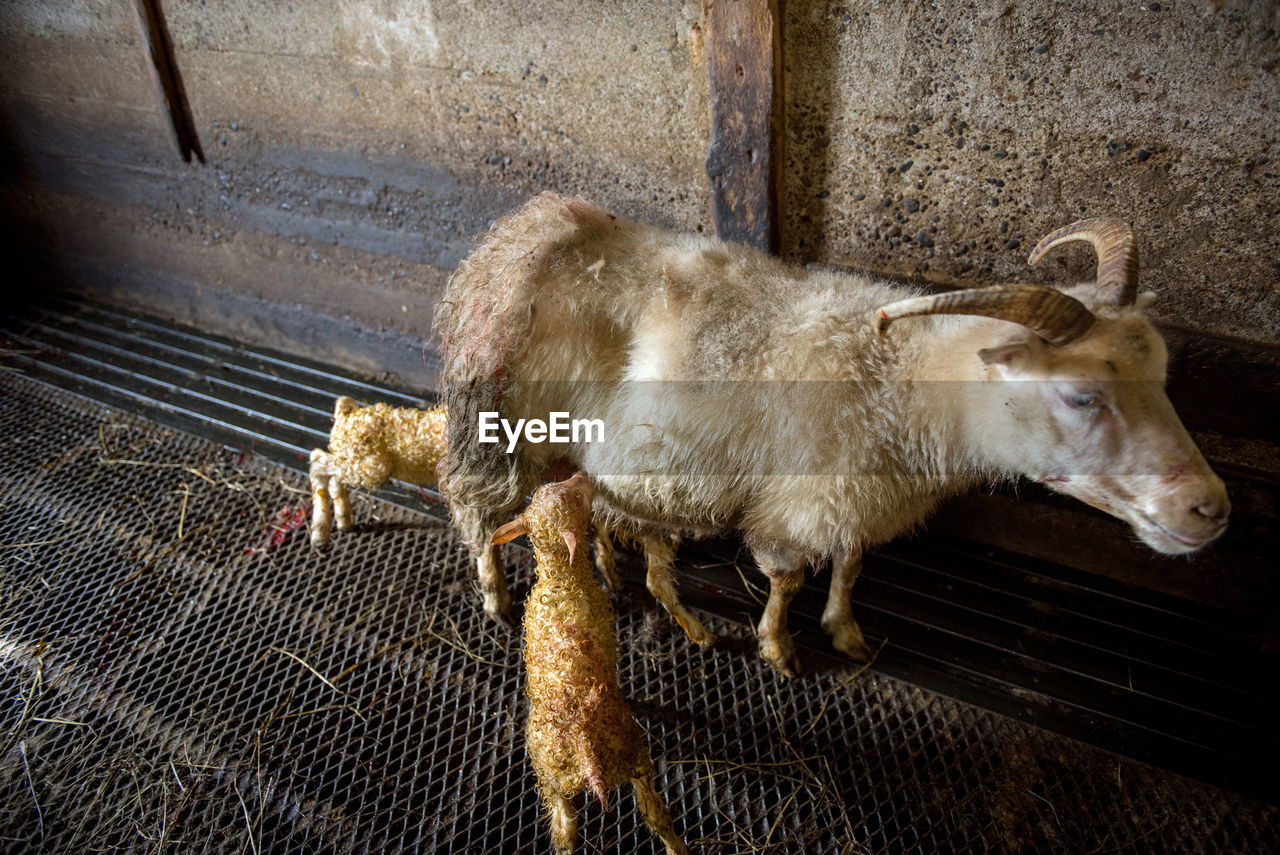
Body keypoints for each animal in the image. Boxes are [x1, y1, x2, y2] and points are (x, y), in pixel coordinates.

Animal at [440, 193, 1228, 675]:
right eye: (1081, 393)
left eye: (1162, 373)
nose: (1210, 509)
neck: (902, 384)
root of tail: (520, 234)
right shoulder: (808, 497)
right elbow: (788, 575)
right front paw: (779, 647)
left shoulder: (863, 494)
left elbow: (851, 564)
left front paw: (845, 631)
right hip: (500, 424)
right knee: (474, 505)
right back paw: (495, 596)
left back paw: (610, 571)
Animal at [488, 471, 691, 855]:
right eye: (577, 501)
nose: (583, 475)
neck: (559, 581)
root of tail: (585, 753)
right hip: (633, 754)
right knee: (655, 814)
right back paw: (679, 847)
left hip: (550, 779)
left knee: (564, 830)